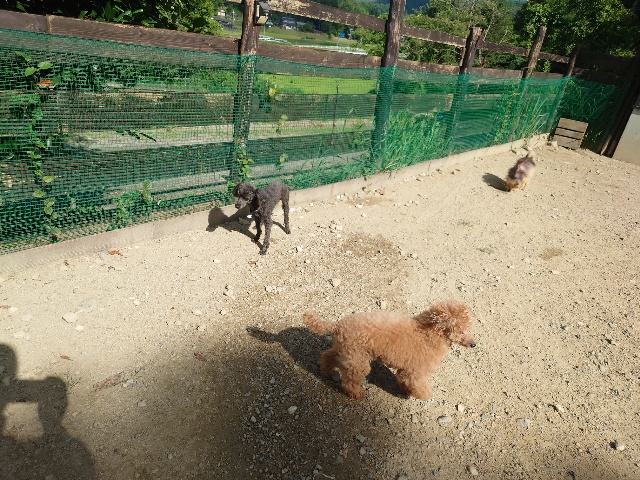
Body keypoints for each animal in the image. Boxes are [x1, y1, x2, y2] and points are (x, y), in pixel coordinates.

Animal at [303, 300, 476, 400]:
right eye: (461, 331)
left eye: (468, 329)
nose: (474, 344)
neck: (429, 335)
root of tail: (337, 325)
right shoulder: (415, 372)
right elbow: (420, 387)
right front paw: (424, 395)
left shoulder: (406, 371)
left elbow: (405, 381)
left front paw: (406, 391)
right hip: (359, 361)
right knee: (349, 381)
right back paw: (357, 394)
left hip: (347, 352)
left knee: (328, 355)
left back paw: (326, 371)